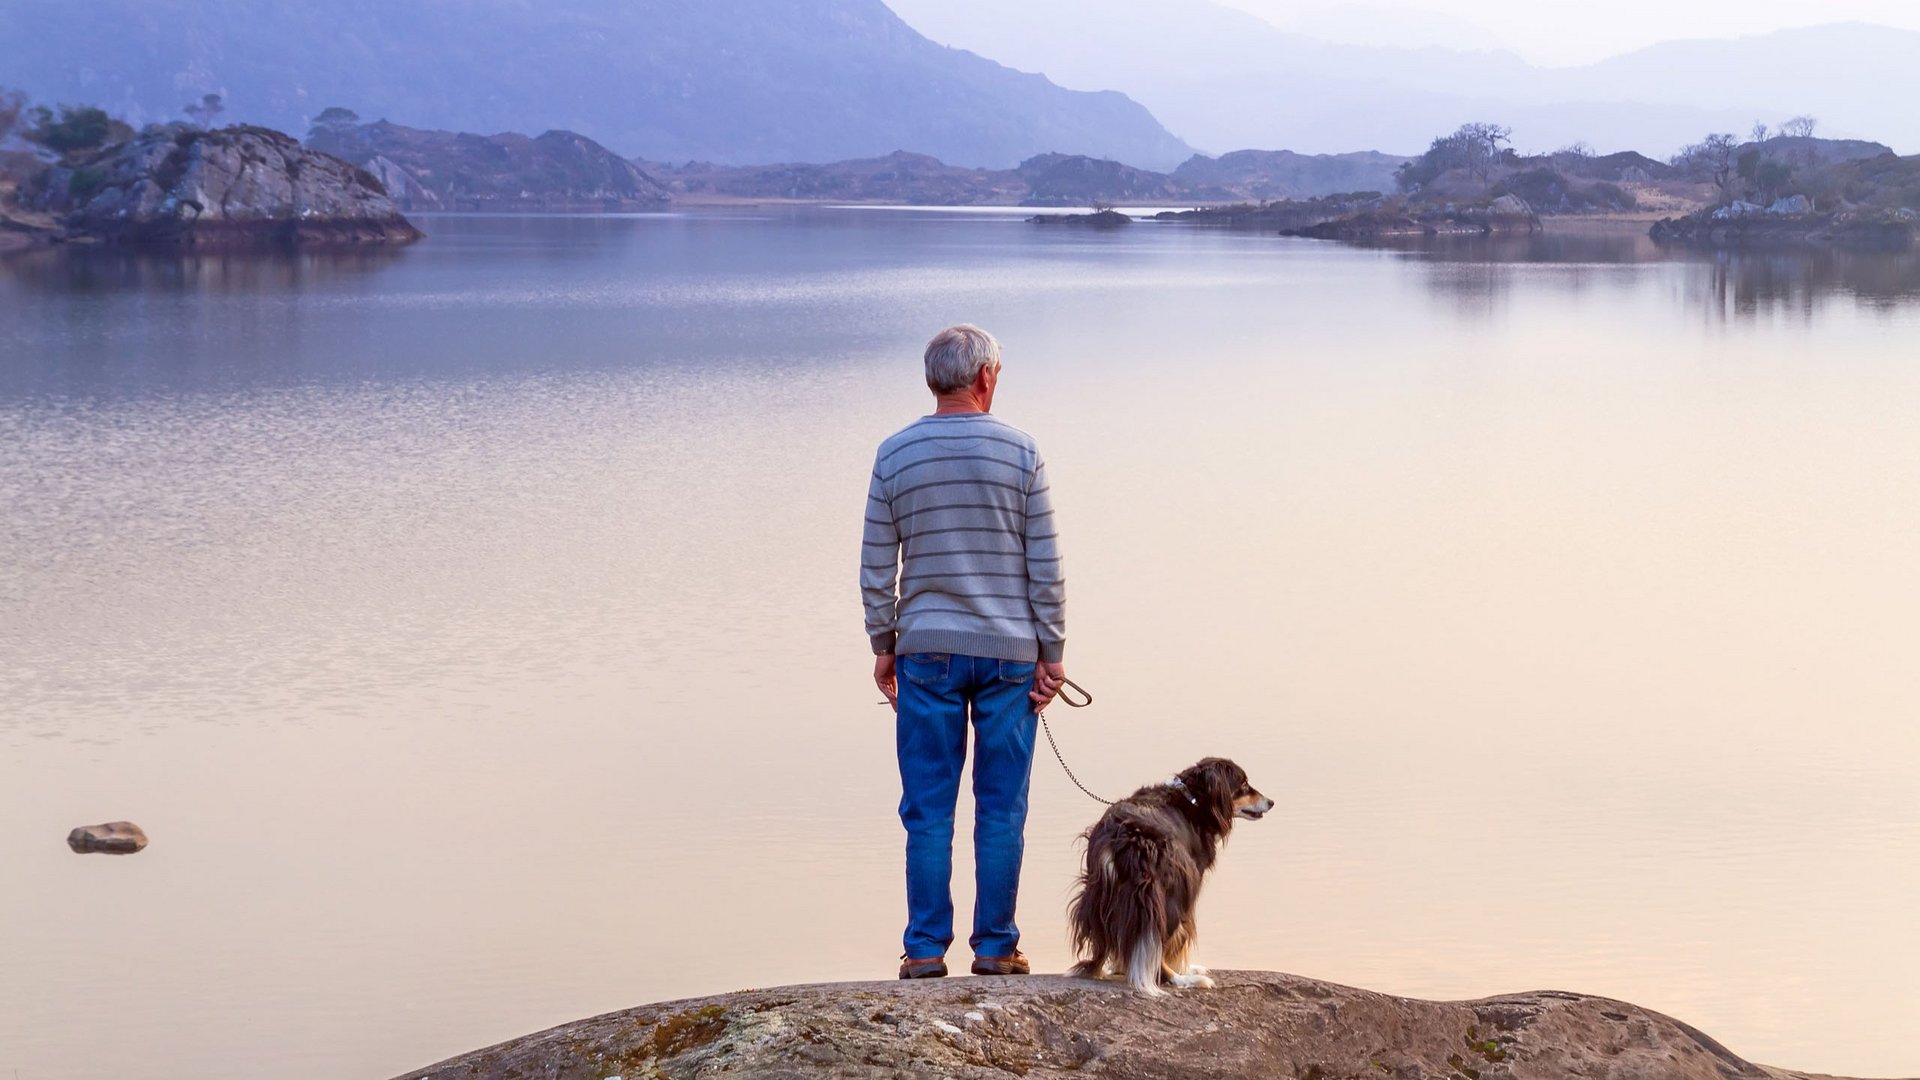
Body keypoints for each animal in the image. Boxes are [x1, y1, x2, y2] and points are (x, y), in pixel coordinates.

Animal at [1067, 749, 1274, 991]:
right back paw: (1182, 979)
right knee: (1157, 942)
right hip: (1170, 894)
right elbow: (1179, 939)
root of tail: (1123, 837)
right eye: (1243, 785)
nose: (1271, 802)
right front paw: (1185, 970)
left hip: (1099, 891)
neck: (1194, 800)